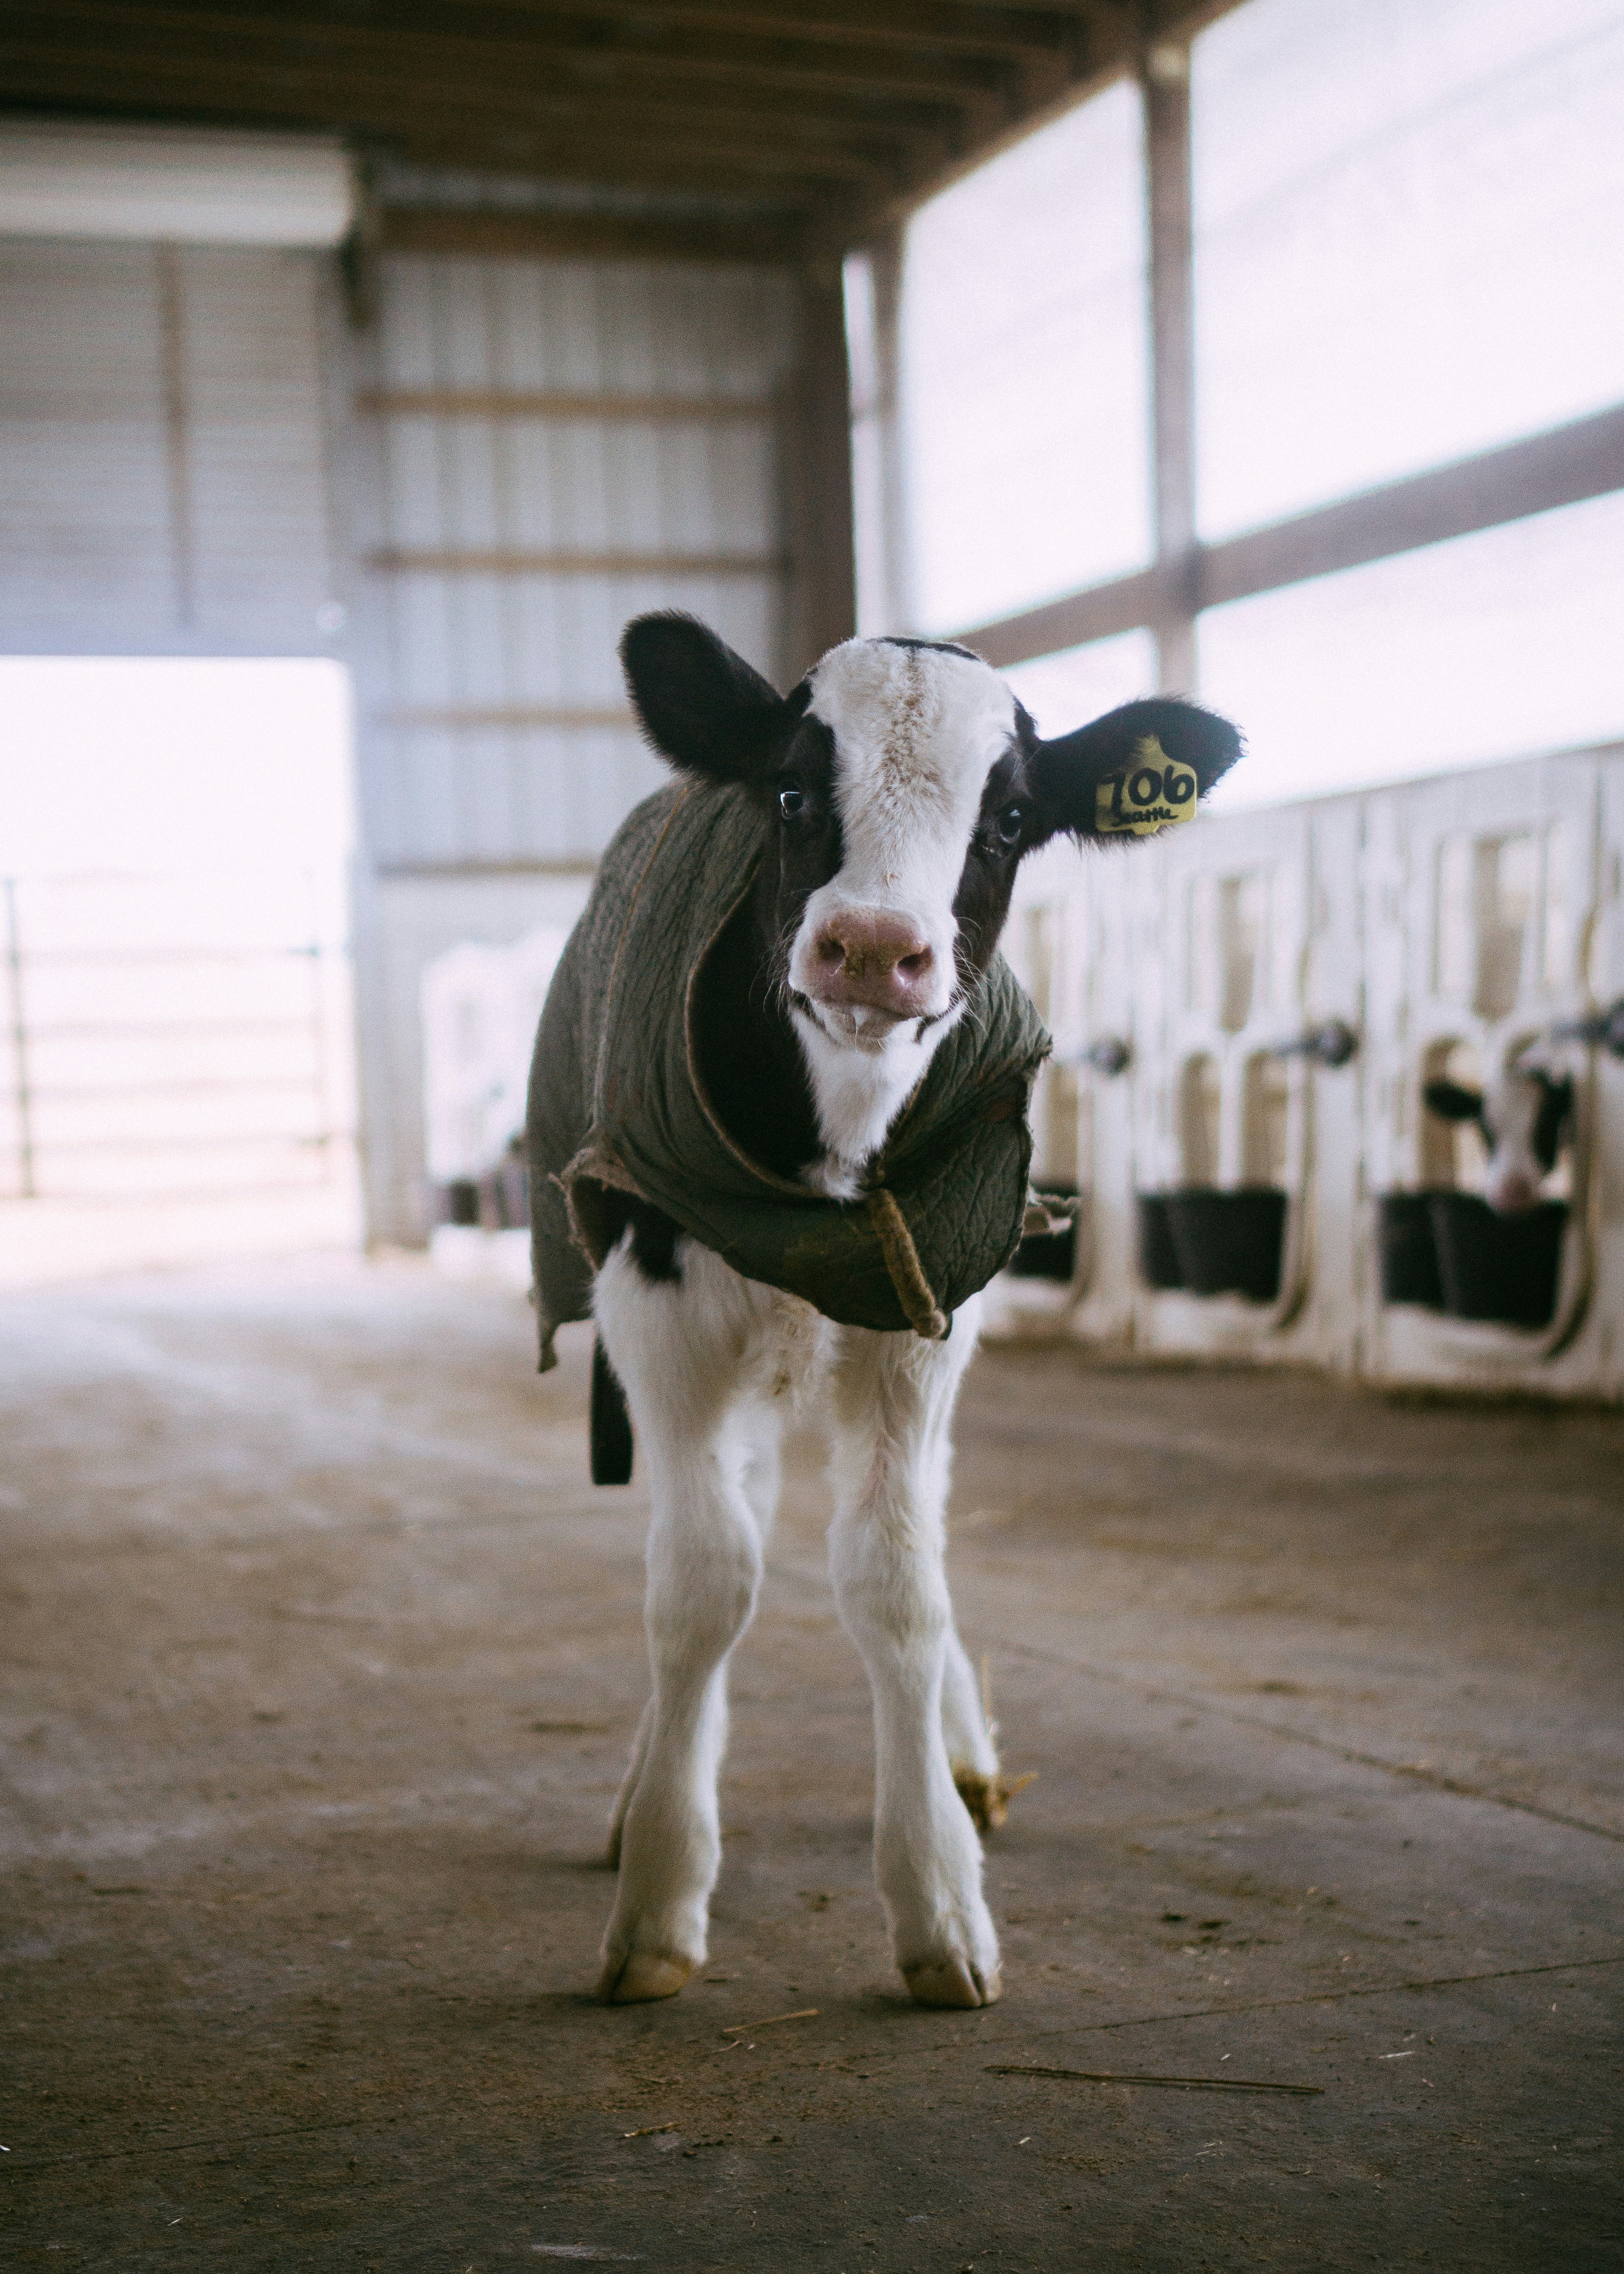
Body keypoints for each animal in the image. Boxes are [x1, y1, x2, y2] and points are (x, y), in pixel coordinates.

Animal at [527, 613, 1241, 2011]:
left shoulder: (931, 1304)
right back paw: (645, 1792)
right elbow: (699, 1581)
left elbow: (897, 1577)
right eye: (793, 792)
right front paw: (659, 1897)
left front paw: (939, 1899)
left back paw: (963, 1755)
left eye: (1009, 818)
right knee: (730, 1517)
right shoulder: (655, 1294)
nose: (867, 947)